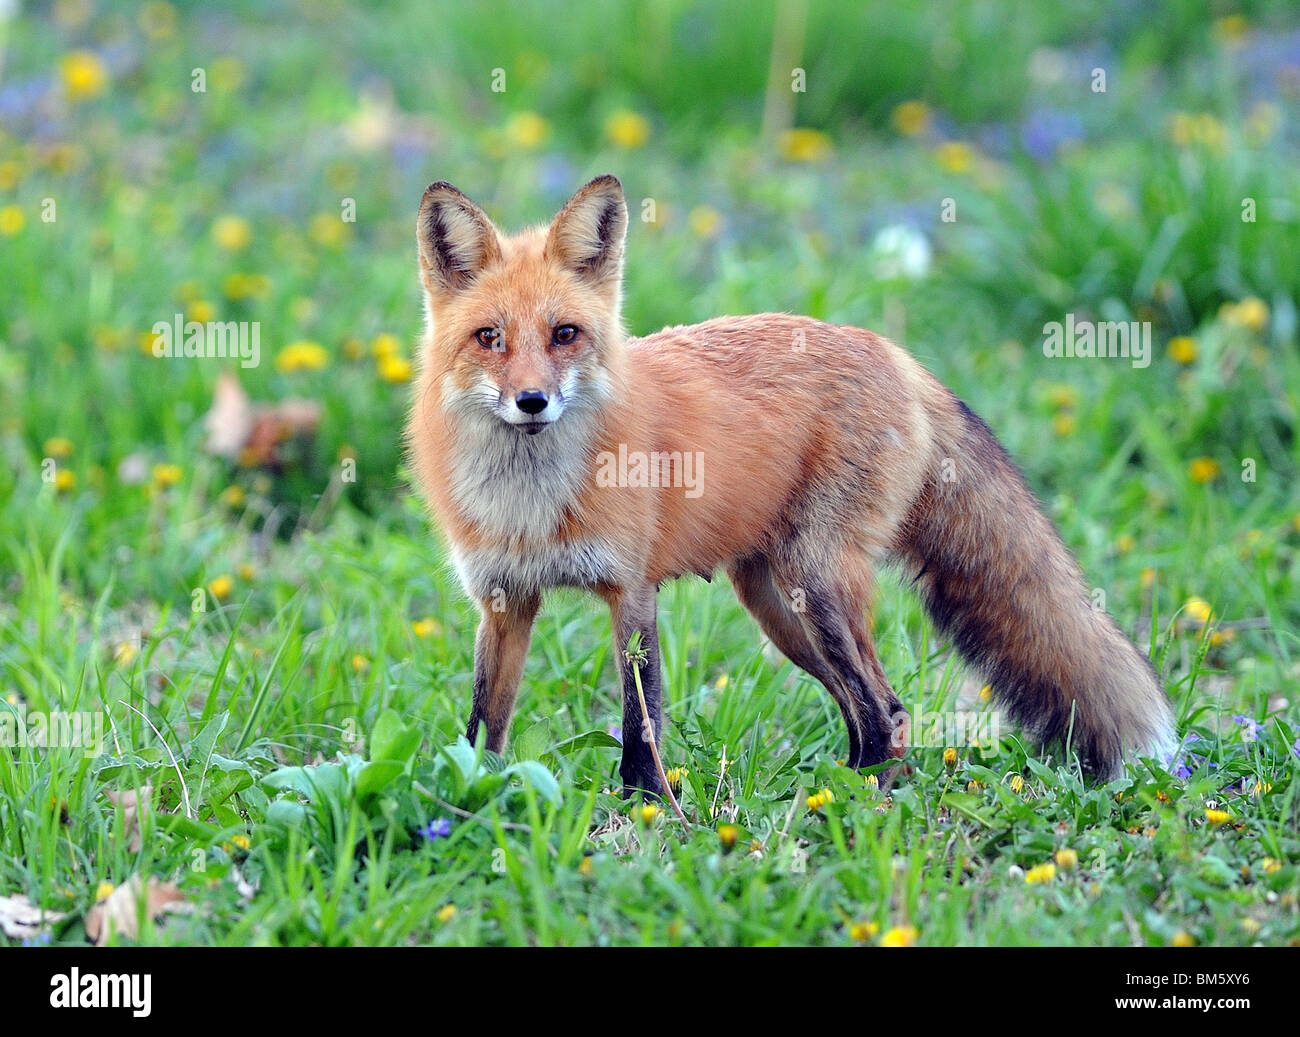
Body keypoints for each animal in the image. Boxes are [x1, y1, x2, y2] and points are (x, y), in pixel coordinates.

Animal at [408, 176, 1180, 795]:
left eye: (564, 334)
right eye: (489, 337)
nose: (532, 401)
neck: (532, 506)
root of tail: (892, 351)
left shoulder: (631, 592)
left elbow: (640, 722)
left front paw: (648, 810)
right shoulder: (504, 601)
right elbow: (483, 725)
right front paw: (468, 800)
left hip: (819, 587)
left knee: (887, 708)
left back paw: (858, 803)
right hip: (779, 607)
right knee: (872, 707)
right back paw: (847, 788)